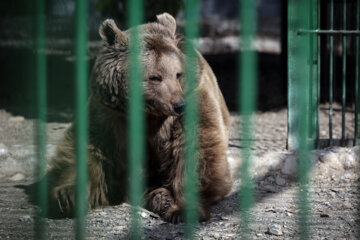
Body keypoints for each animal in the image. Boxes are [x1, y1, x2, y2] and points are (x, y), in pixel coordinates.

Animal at [47, 12, 232, 223]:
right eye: (155, 77)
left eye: (178, 74)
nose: (179, 105)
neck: (148, 111)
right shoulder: (110, 113)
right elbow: (92, 147)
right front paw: (66, 197)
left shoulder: (192, 103)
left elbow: (196, 148)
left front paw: (181, 209)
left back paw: (162, 198)